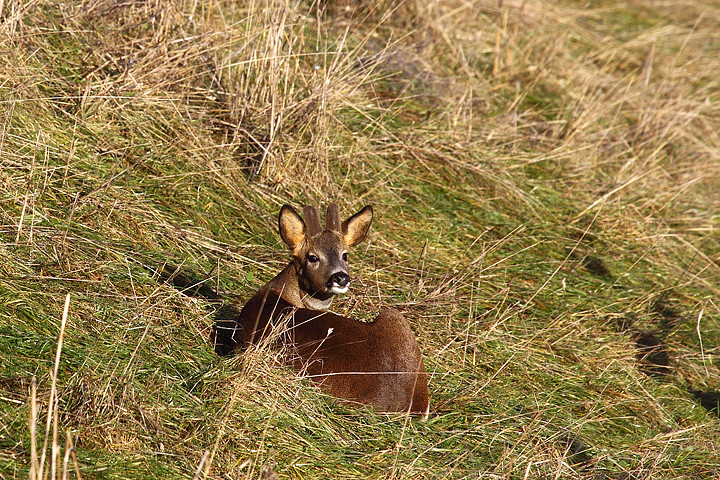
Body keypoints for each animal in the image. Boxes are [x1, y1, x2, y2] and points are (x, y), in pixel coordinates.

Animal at [168, 203, 429, 416]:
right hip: (395, 317)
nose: (341, 277)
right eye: (313, 257)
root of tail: (410, 405)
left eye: (345, 255)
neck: (281, 295)